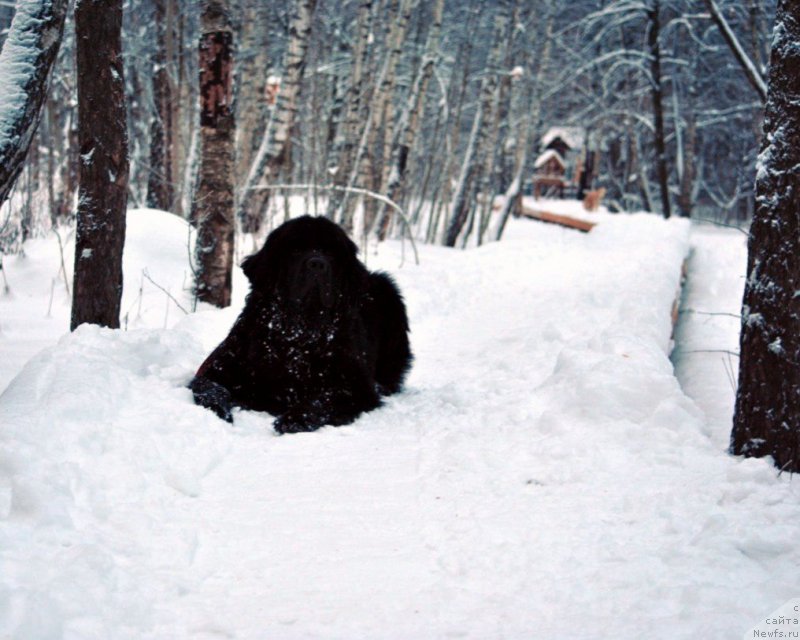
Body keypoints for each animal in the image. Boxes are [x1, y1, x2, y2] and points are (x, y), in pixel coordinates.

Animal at [189, 216, 412, 436]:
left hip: (388, 291)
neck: (299, 332)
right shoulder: (220, 366)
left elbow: (324, 398)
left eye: (330, 253)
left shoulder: (356, 385)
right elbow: (206, 385)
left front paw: (295, 419)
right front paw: (219, 410)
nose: (317, 264)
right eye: (295, 251)